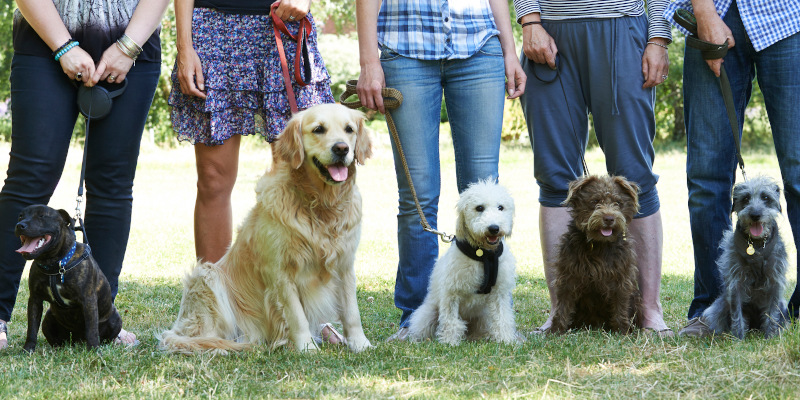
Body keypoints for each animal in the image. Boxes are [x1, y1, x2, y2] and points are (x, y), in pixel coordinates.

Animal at [14, 205, 121, 352]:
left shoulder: (88, 301)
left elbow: (92, 329)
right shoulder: (35, 299)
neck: (56, 264)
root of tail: (77, 341)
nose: (20, 225)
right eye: (20, 216)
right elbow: (32, 327)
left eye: (42, 216)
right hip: (48, 319)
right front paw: (28, 349)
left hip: (116, 319)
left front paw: (94, 350)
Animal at [161, 104, 376, 354]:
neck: (321, 205)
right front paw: (307, 347)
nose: (341, 148)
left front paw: (360, 344)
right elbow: (297, 316)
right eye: (318, 129)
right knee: (201, 336)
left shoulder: (345, 265)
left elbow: (352, 312)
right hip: (207, 276)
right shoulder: (280, 271)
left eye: (349, 129)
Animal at [406, 180, 520, 346]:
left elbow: (502, 318)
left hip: (484, 317)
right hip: (428, 313)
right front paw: (449, 342)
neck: (483, 255)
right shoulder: (451, 293)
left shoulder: (499, 292)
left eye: (501, 207)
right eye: (479, 208)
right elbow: (451, 321)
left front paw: (505, 340)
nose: (494, 228)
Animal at [552, 175, 644, 334]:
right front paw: (556, 331)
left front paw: (623, 332)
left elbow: (620, 305)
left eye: (618, 203)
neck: (599, 244)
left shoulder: (621, 278)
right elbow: (563, 305)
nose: (609, 218)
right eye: (595, 201)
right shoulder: (568, 275)